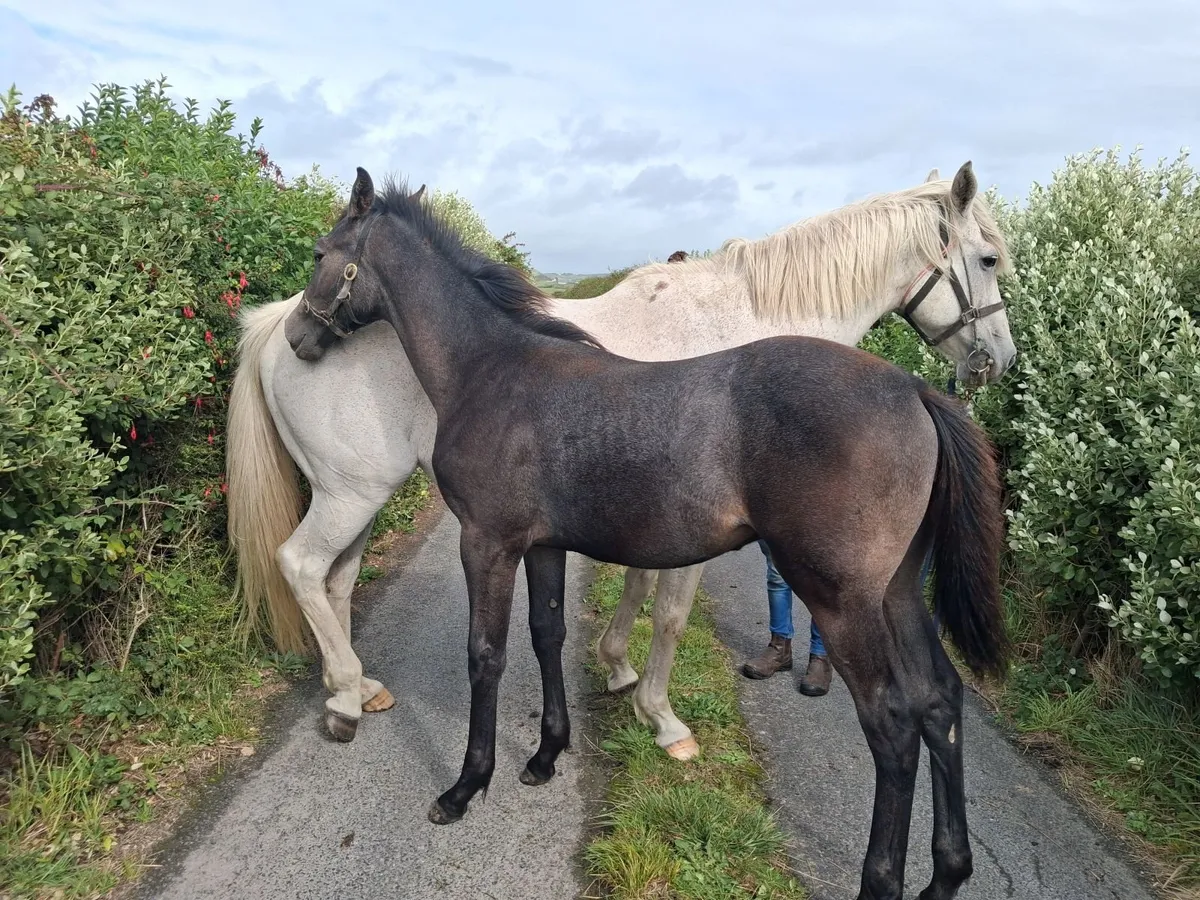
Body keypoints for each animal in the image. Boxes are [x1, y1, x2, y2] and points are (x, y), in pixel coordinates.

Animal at [282, 167, 1010, 900]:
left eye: (320, 254)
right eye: (989, 258)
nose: (297, 335)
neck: (492, 368)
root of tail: (916, 391)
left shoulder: (488, 542)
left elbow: (488, 653)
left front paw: (465, 788)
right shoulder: (543, 544)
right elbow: (548, 634)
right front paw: (546, 755)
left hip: (846, 599)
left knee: (894, 721)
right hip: (897, 593)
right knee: (940, 700)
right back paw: (948, 873)